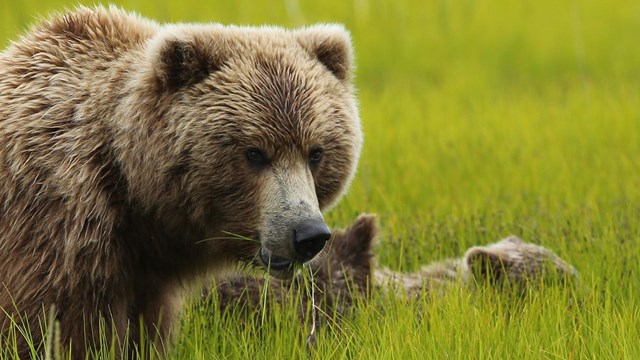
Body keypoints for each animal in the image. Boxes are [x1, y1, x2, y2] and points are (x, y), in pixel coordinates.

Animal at [0, 4, 360, 358]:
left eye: (315, 152)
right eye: (255, 153)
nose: (309, 234)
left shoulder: (145, 275)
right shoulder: (57, 231)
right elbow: (60, 332)